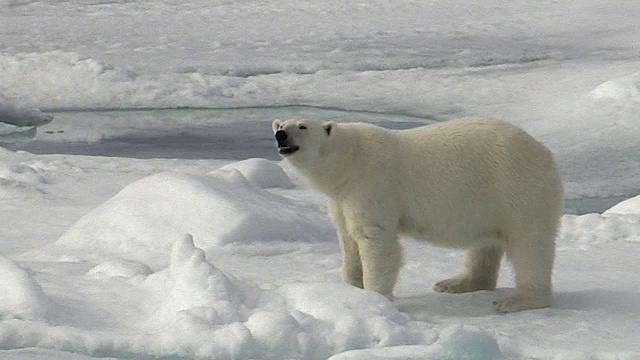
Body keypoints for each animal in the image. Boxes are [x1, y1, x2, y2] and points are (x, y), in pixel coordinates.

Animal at [272, 117, 564, 312]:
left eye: (302, 126)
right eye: (280, 125)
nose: (281, 135)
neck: (351, 161)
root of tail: (546, 153)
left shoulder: (373, 185)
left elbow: (375, 240)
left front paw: (376, 297)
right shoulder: (342, 200)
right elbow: (348, 240)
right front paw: (352, 290)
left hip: (516, 190)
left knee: (530, 245)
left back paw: (518, 300)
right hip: (489, 202)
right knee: (484, 245)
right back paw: (456, 283)